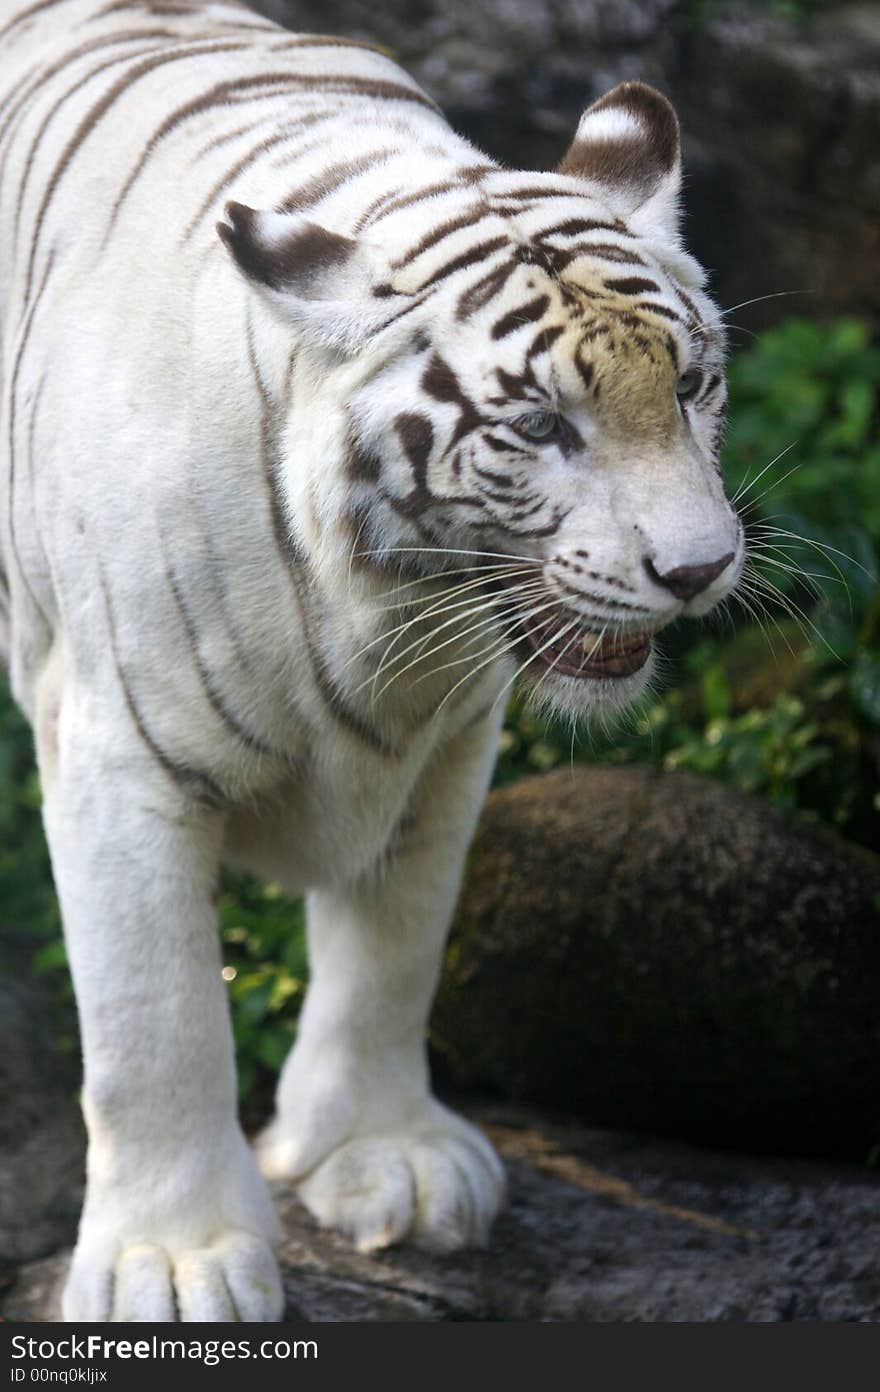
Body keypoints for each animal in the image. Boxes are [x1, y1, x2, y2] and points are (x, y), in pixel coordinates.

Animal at [0, 0, 740, 1319]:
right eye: (540, 426)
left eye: (694, 384)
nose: (700, 569)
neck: (390, 611)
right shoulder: (118, 758)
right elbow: (155, 1019)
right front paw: (172, 1263)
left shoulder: (449, 739)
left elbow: (397, 943)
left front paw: (384, 1158)